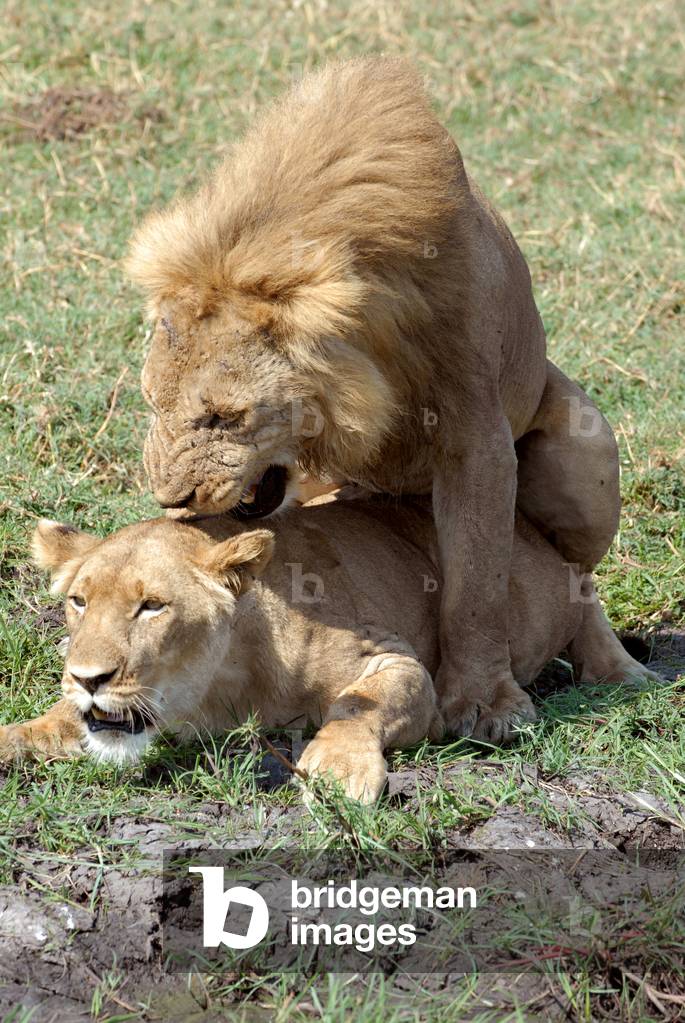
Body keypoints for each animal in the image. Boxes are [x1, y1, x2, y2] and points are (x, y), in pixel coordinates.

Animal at [0, 500, 655, 802]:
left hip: (528, 588)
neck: (219, 689)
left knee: (582, 588)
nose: (88, 677)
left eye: (153, 606)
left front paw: (337, 767)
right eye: (80, 601)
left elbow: (359, 703)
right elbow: (47, 726)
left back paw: (623, 673)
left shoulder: (398, 659)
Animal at [124, 56, 628, 742]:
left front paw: (484, 702)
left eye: (226, 416)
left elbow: (478, 584)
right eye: (152, 403)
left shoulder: (477, 436)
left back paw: (620, 671)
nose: (171, 502)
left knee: (580, 582)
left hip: (586, 459)